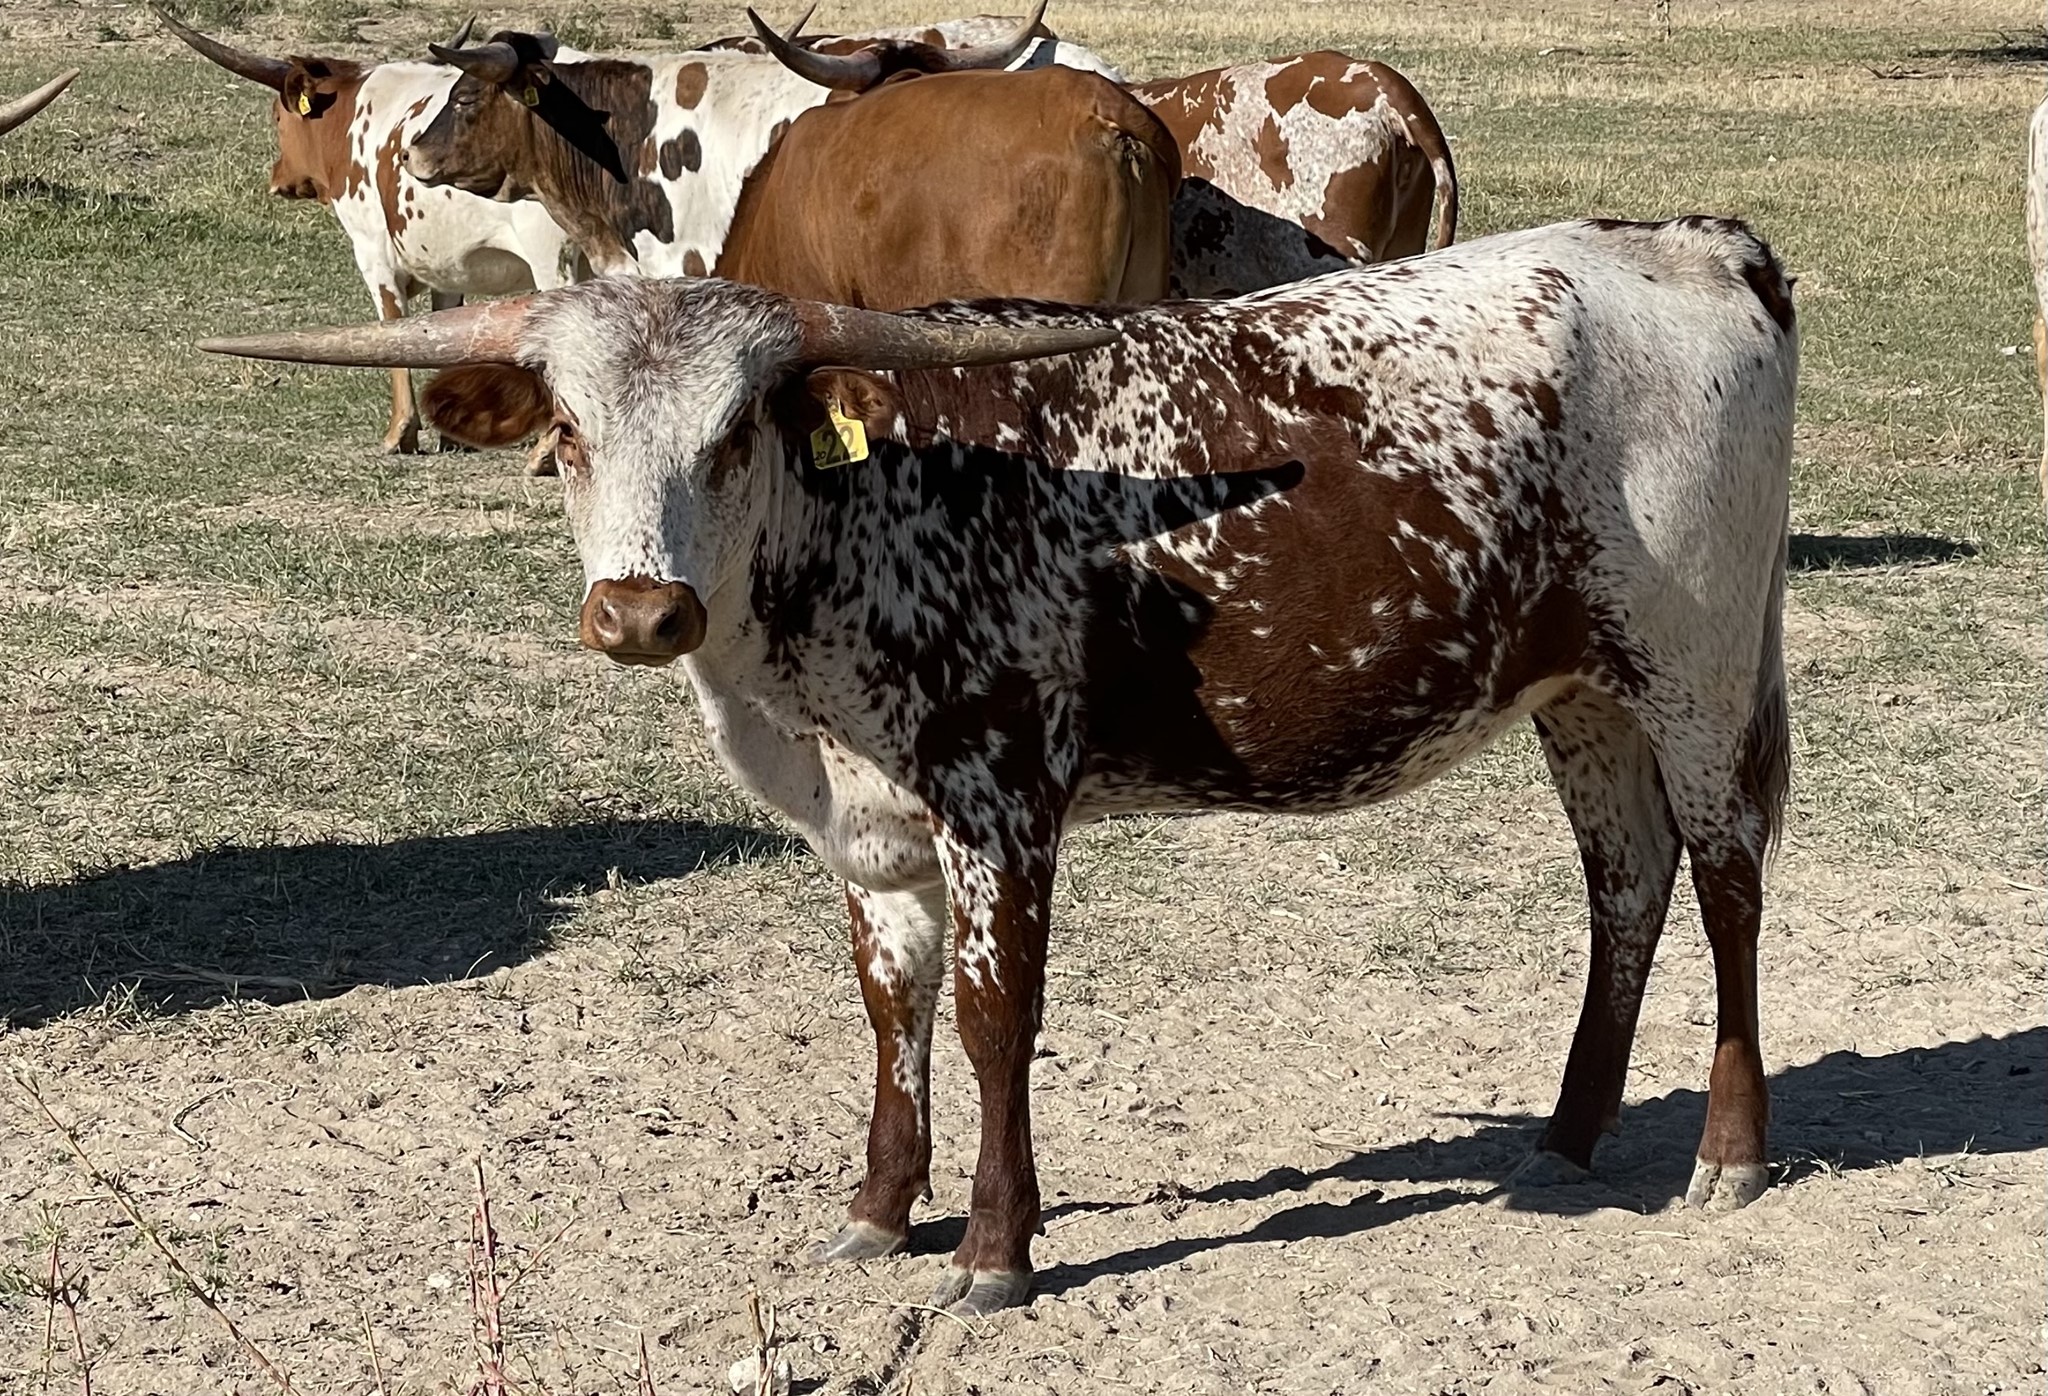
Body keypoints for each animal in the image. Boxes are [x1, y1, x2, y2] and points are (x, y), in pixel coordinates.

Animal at [153, 6, 581, 453]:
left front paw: (400, 432)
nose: (277, 178)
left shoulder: (373, 252)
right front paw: (453, 433)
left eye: (277, 116)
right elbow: (441, 334)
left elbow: (393, 331)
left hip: (554, 260)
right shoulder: (445, 264)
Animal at [203, 214, 1798, 1318]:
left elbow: (988, 1021)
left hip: (1698, 666)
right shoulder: (867, 829)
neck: (861, 518)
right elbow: (889, 1011)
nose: (642, 614)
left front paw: (990, 1246)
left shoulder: (1001, 801)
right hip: (1579, 689)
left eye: (735, 434)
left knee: (1725, 882)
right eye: (567, 429)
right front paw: (876, 1206)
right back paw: (1570, 1131)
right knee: (1623, 882)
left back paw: (1727, 1152)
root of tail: (1688, 241)